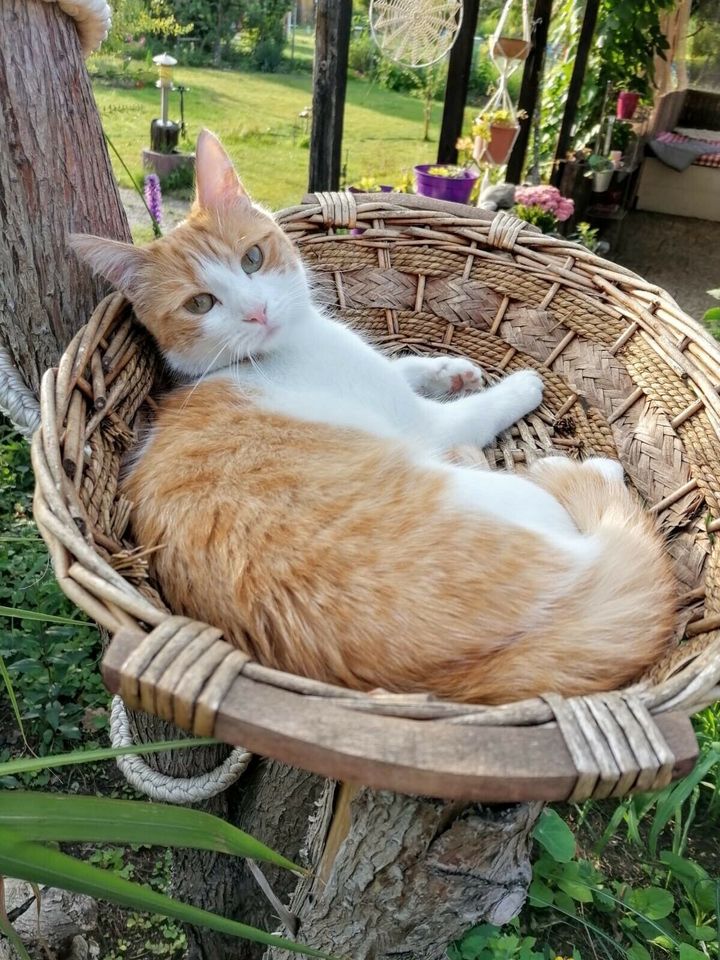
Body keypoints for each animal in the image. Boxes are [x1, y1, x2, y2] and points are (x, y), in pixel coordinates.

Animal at [70, 131, 676, 700]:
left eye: (252, 259)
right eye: (200, 304)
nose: (256, 311)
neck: (287, 348)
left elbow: (404, 365)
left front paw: (452, 370)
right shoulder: (423, 423)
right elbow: (471, 408)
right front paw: (519, 385)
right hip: (516, 501)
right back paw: (586, 470)